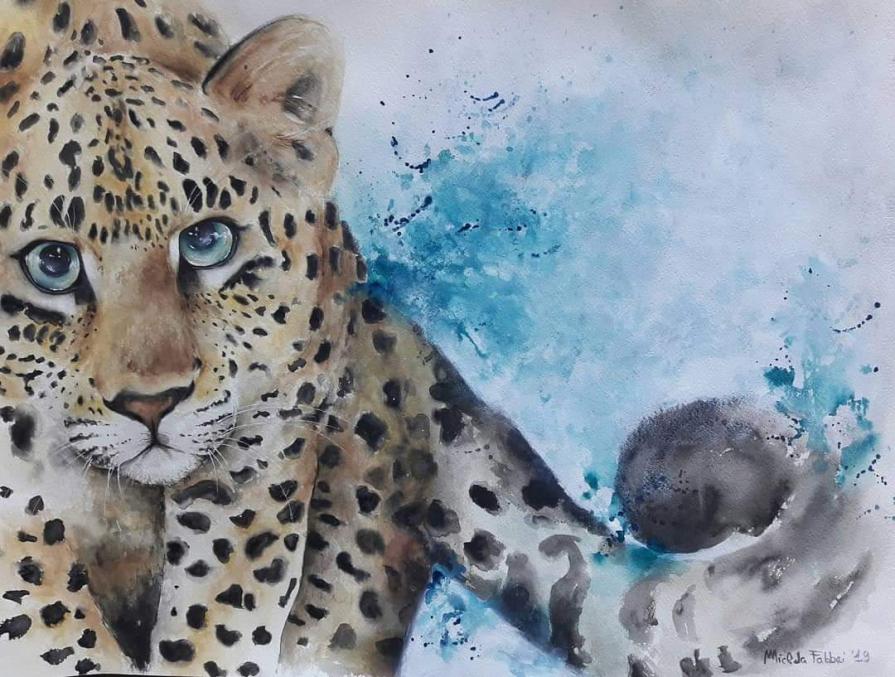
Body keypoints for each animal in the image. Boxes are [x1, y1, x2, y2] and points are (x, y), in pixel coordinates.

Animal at [0, 2, 873, 677]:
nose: (153, 406)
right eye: (52, 264)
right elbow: (42, 616)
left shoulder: (261, 439)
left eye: (208, 241)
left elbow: (224, 604)